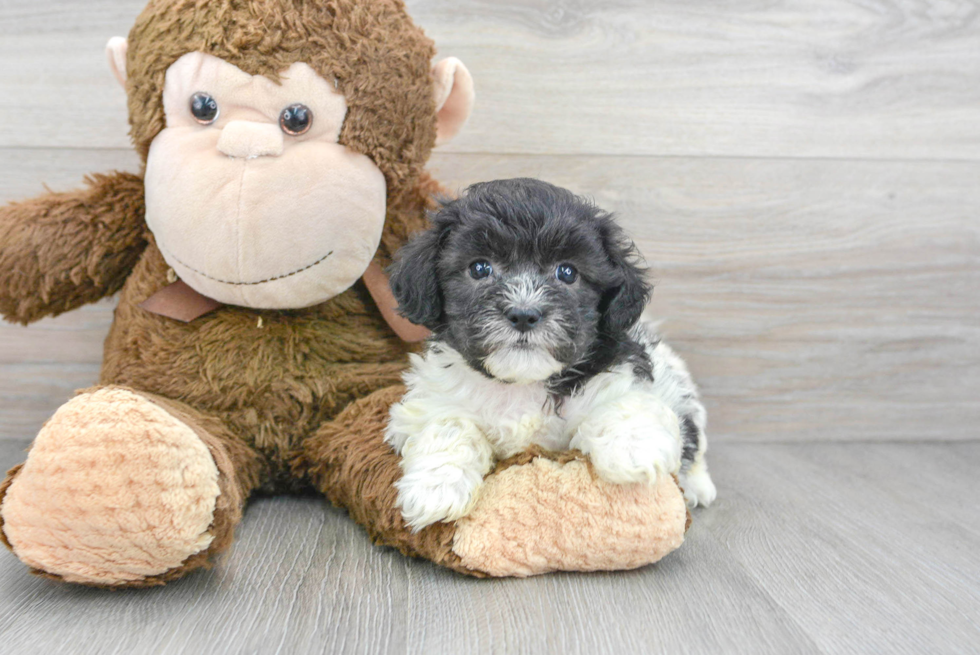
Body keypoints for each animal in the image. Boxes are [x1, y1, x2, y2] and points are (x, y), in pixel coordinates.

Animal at [386, 177, 716, 532]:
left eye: (567, 273)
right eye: (479, 268)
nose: (524, 314)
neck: (522, 384)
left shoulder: (625, 375)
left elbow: (624, 405)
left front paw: (630, 450)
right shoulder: (431, 398)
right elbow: (447, 423)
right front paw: (436, 487)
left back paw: (698, 487)